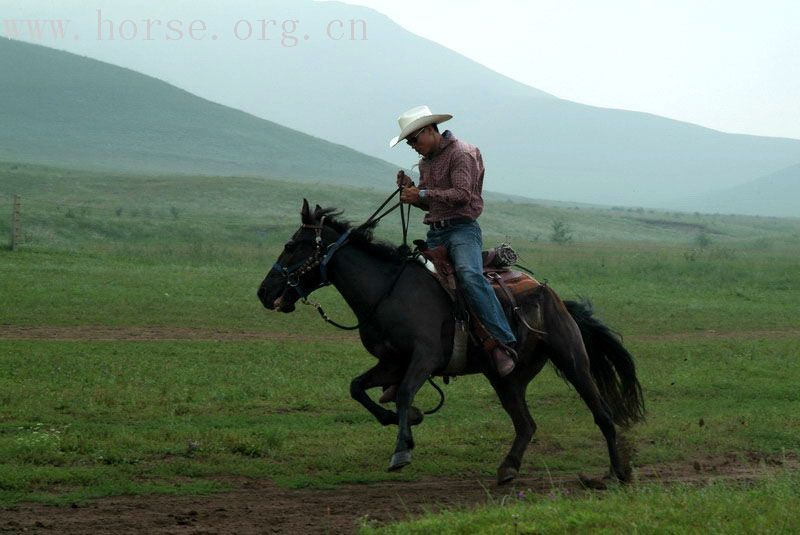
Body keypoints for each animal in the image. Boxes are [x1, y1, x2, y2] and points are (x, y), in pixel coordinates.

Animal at [258, 201, 644, 486]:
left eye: (291, 246)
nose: (264, 292)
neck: (388, 292)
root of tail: (554, 296)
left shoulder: (424, 358)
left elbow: (403, 393)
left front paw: (402, 450)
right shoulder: (391, 363)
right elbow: (358, 388)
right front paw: (408, 421)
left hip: (572, 360)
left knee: (602, 415)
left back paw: (616, 474)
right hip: (506, 379)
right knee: (526, 424)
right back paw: (508, 469)